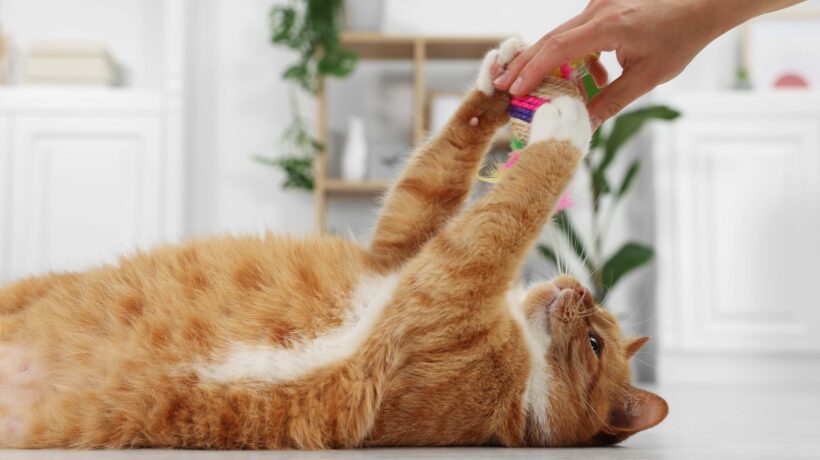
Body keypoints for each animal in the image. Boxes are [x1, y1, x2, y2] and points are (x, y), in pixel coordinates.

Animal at [0, 39, 668, 450]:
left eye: (594, 342)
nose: (579, 288)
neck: (526, 367)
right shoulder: (396, 251)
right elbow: (438, 173)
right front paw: (501, 81)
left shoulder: (444, 283)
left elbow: (518, 201)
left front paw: (570, 118)